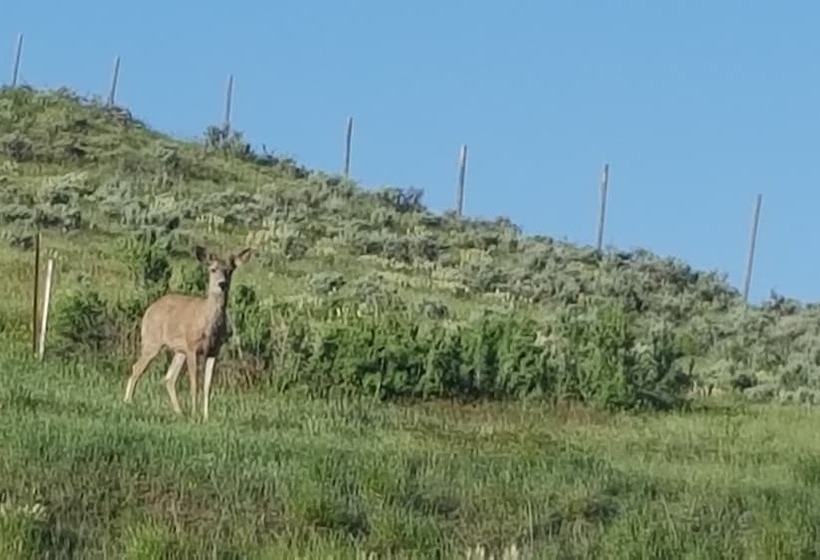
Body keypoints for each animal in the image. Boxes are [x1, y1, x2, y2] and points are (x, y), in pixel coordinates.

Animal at [123, 245, 251, 420]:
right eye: (213, 269)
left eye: (230, 270)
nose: (222, 284)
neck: (209, 324)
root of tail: (149, 309)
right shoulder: (192, 347)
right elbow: (194, 384)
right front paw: (195, 415)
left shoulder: (214, 351)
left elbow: (207, 386)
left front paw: (206, 417)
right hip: (152, 341)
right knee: (137, 367)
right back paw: (128, 401)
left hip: (179, 350)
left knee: (169, 378)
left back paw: (179, 412)